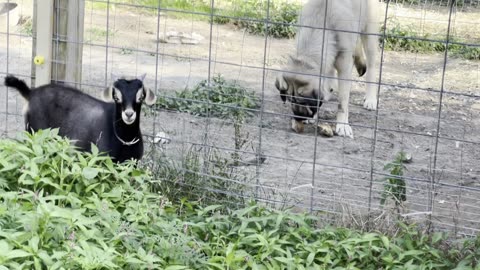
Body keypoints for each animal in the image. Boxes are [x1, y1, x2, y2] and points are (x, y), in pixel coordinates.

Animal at [4, 74, 158, 162]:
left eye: (141, 97)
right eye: (116, 97)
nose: (129, 114)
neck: (124, 140)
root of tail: (30, 93)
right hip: (35, 135)